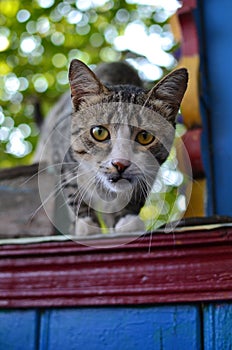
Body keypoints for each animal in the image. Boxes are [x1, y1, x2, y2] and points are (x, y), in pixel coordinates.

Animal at [36, 60, 188, 237]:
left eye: (145, 136)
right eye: (99, 132)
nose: (120, 163)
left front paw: (127, 218)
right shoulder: (63, 156)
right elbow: (73, 190)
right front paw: (85, 224)